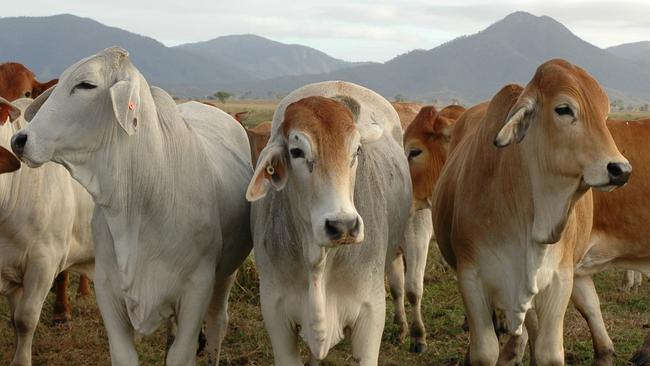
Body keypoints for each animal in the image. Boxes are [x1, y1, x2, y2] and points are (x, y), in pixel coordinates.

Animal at [11, 48, 253, 366]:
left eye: (86, 85)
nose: (19, 139)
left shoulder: (196, 289)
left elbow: (182, 353)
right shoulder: (108, 290)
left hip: (226, 275)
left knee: (217, 324)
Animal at [430, 58, 628, 364]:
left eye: (605, 113)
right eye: (563, 109)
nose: (620, 169)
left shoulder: (559, 281)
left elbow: (548, 351)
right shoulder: (471, 278)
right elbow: (485, 350)